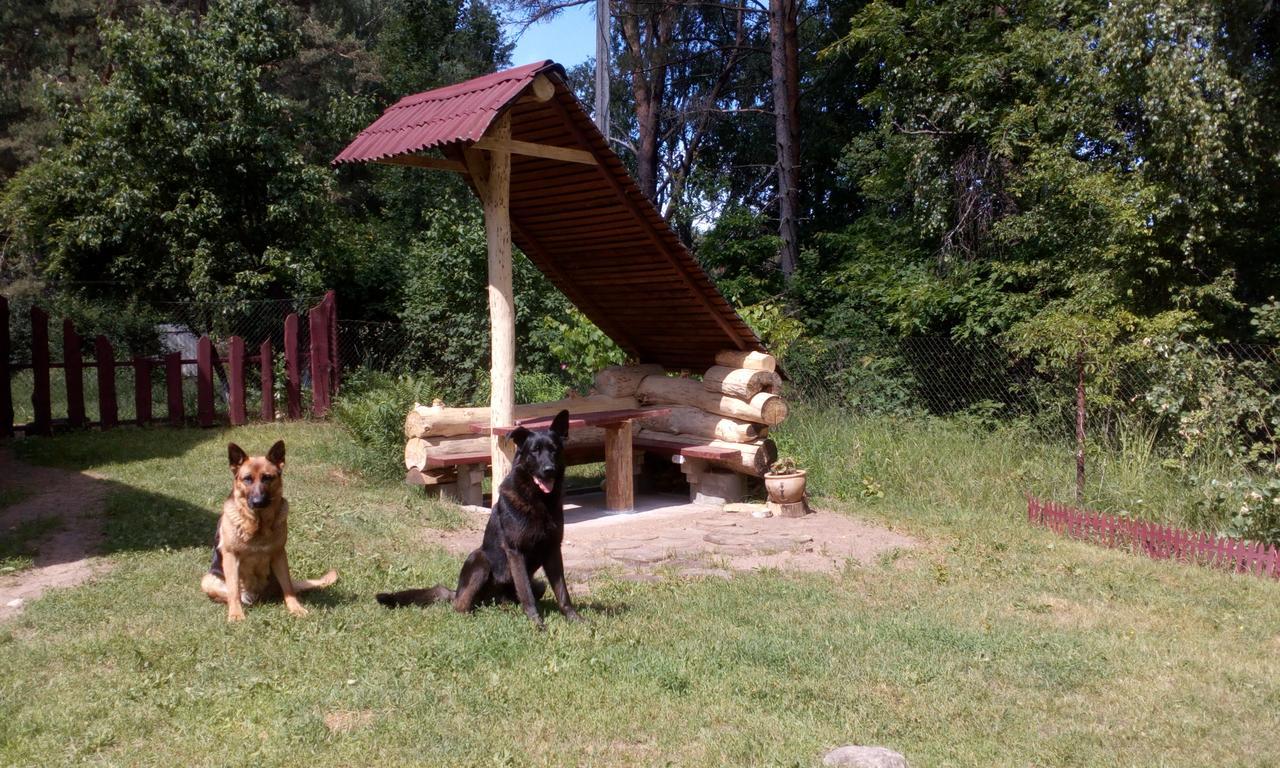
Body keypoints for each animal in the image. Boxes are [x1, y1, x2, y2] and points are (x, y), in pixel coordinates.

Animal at [376, 412, 583, 627]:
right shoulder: (516, 552)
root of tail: (456, 592)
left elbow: (562, 591)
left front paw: (574, 618)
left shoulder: (553, 550)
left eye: (554, 450)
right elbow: (526, 593)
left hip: (538, 584)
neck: (538, 500)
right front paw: (536, 623)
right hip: (480, 559)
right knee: (460, 605)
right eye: (534, 451)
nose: (549, 469)